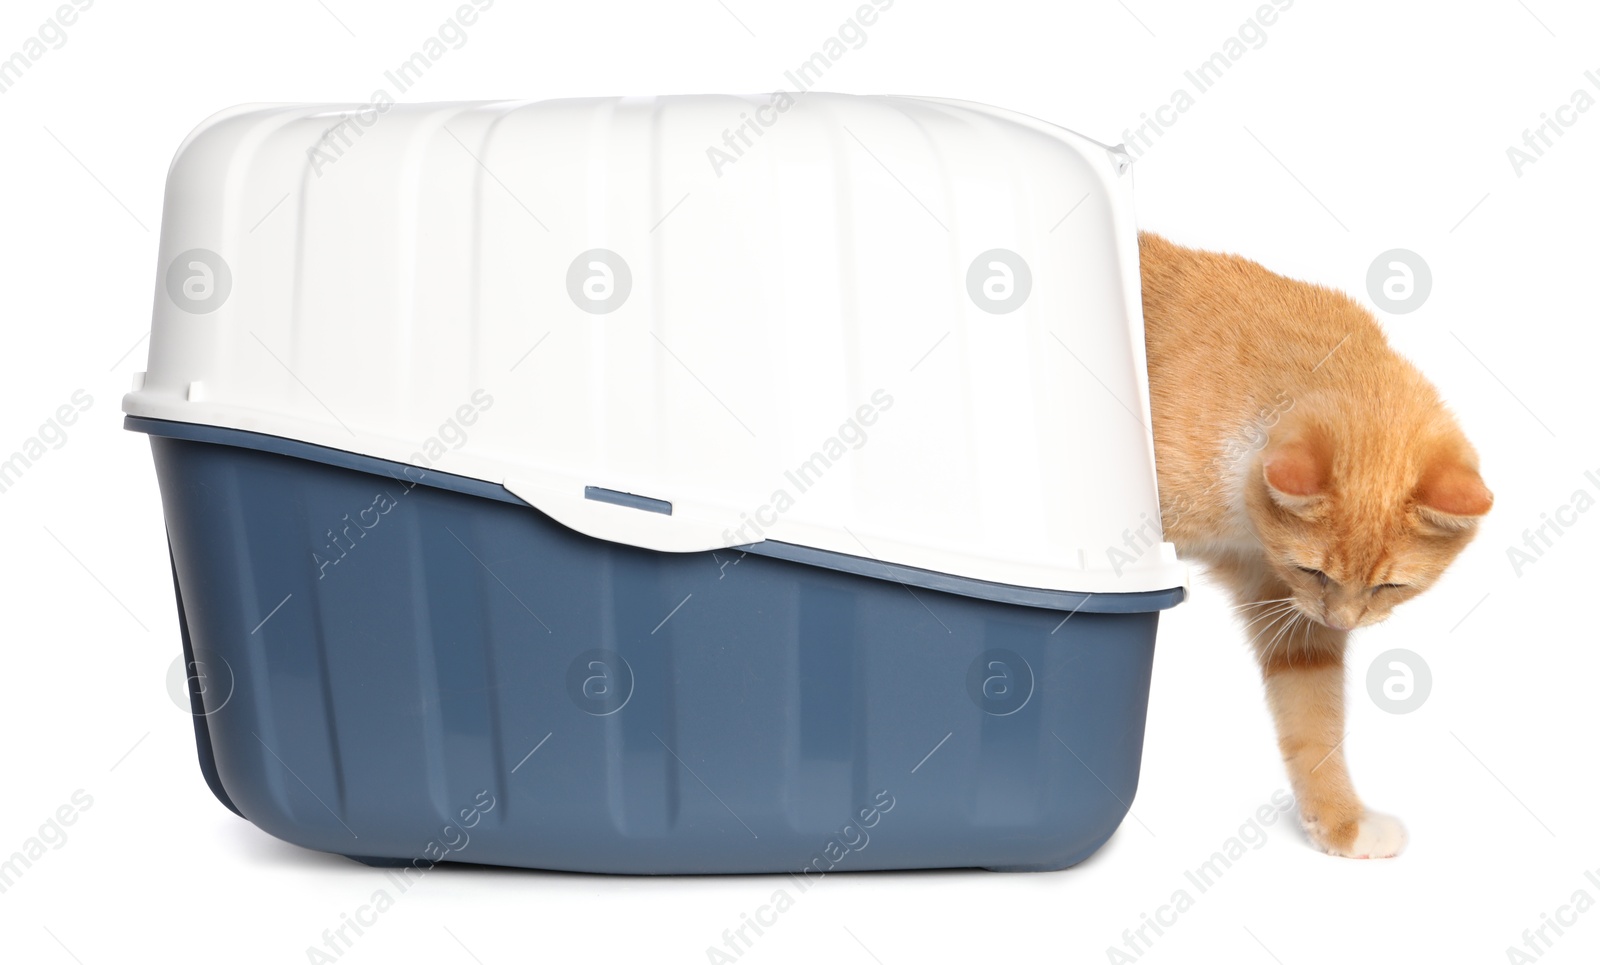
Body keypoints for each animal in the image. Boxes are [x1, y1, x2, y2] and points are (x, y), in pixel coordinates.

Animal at [1139, 233, 1484, 857]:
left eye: (1390, 585)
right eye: (1315, 571)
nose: (1342, 621)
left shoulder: (1283, 603)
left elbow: (1313, 718)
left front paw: (1341, 821)